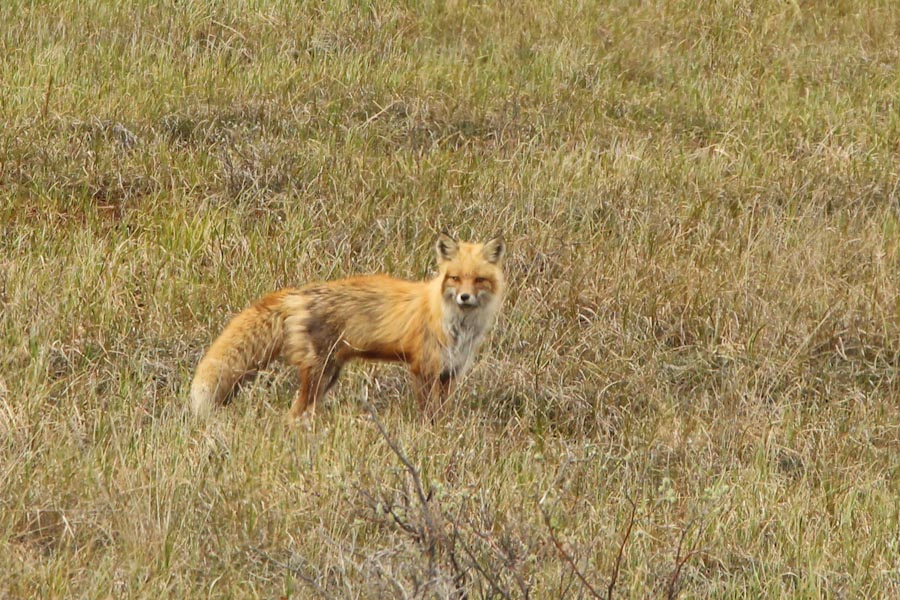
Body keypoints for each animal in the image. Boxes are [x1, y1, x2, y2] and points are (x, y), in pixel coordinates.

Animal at [188, 232, 506, 420]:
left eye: (479, 280)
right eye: (455, 278)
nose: (465, 297)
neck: (458, 327)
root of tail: (297, 294)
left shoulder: (450, 372)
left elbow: (442, 414)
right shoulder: (423, 369)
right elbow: (427, 414)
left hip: (330, 375)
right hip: (319, 373)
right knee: (294, 413)